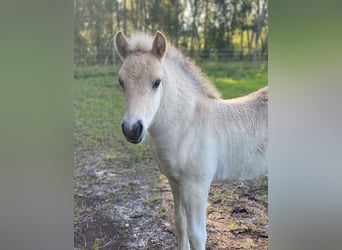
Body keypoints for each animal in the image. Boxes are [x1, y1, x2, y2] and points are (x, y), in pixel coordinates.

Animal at [115, 31, 268, 250]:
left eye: (157, 82)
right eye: (121, 82)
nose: (132, 129)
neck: (187, 126)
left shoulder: (197, 185)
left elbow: (197, 234)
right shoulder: (174, 181)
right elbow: (180, 223)